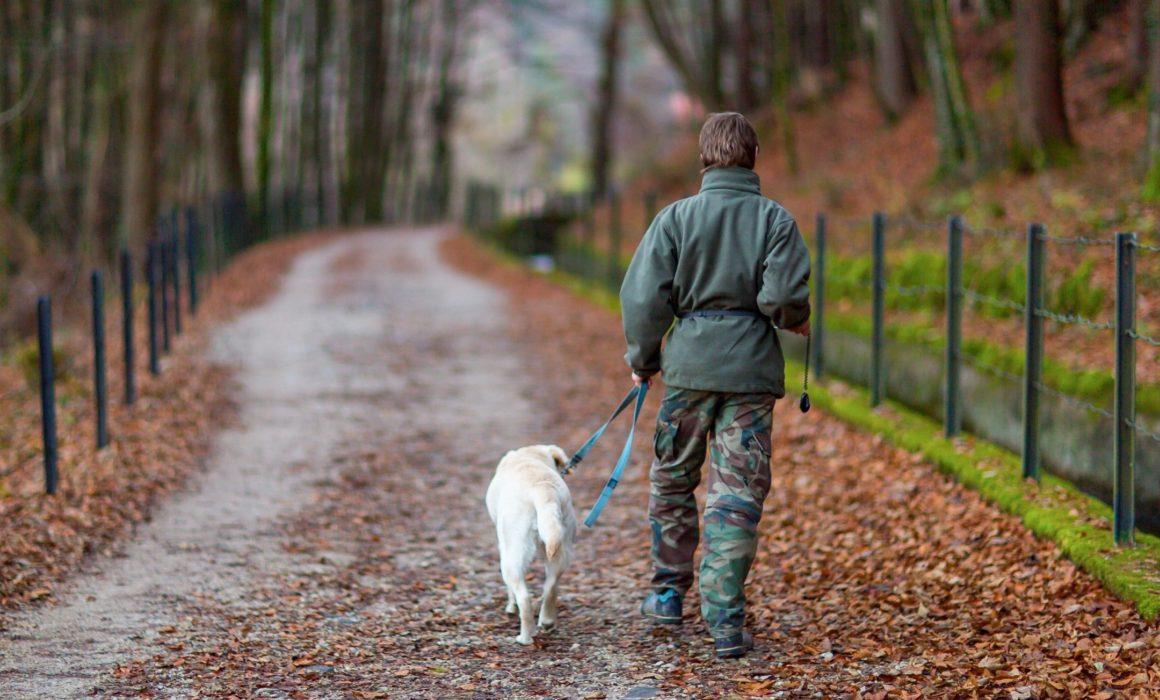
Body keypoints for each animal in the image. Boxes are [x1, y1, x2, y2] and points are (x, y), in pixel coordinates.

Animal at [482, 445, 577, 645]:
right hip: (561, 550)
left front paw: (510, 607)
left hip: (512, 555)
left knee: (524, 598)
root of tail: (542, 488)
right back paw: (547, 622)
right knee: (551, 587)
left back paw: (524, 637)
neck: (530, 455)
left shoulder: (503, 546)